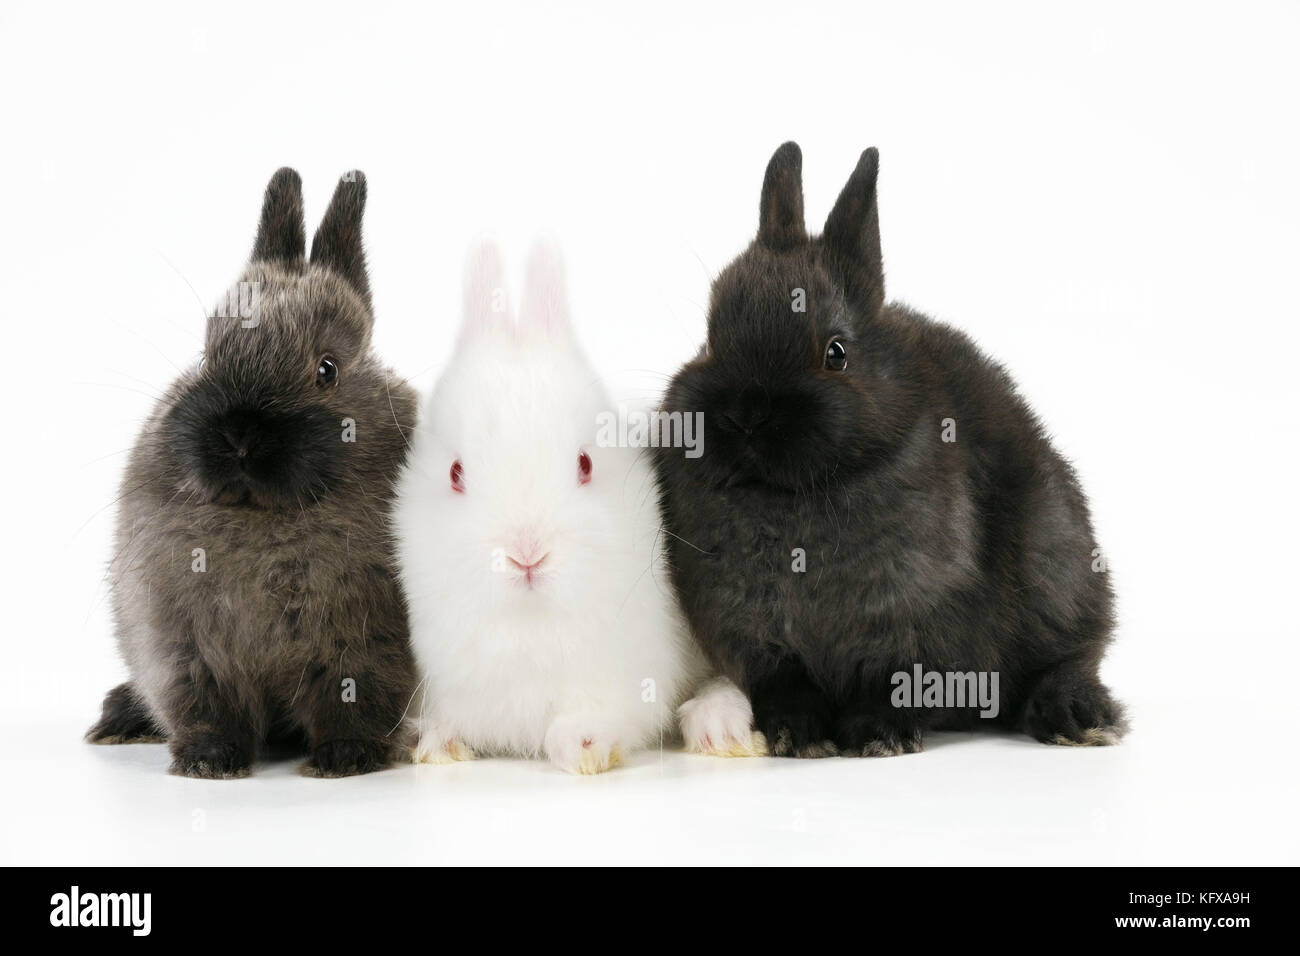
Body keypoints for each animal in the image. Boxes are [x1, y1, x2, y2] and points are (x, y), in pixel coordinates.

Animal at [85, 168, 419, 778]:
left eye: (327, 370)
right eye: (205, 357)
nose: (239, 435)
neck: (268, 519)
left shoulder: (369, 646)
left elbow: (355, 701)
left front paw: (344, 759)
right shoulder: (184, 648)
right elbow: (206, 706)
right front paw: (208, 761)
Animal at [392, 239, 707, 774]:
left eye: (585, 463)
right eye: (455, 473)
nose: (527, 555)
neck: (529, 628)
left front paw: (583, 746)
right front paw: (436, 743)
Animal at [655, 142, 1126, 758]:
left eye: (835, 353)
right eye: (710, 338)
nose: (746, 415)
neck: (790, 495)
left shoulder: (916, 615)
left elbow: (900, 681)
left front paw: (877, 733)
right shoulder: (753, 634)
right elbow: (786, 683)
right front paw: (795, 733)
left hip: (1059, 562)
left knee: (1071, 654)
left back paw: (1076, 716)